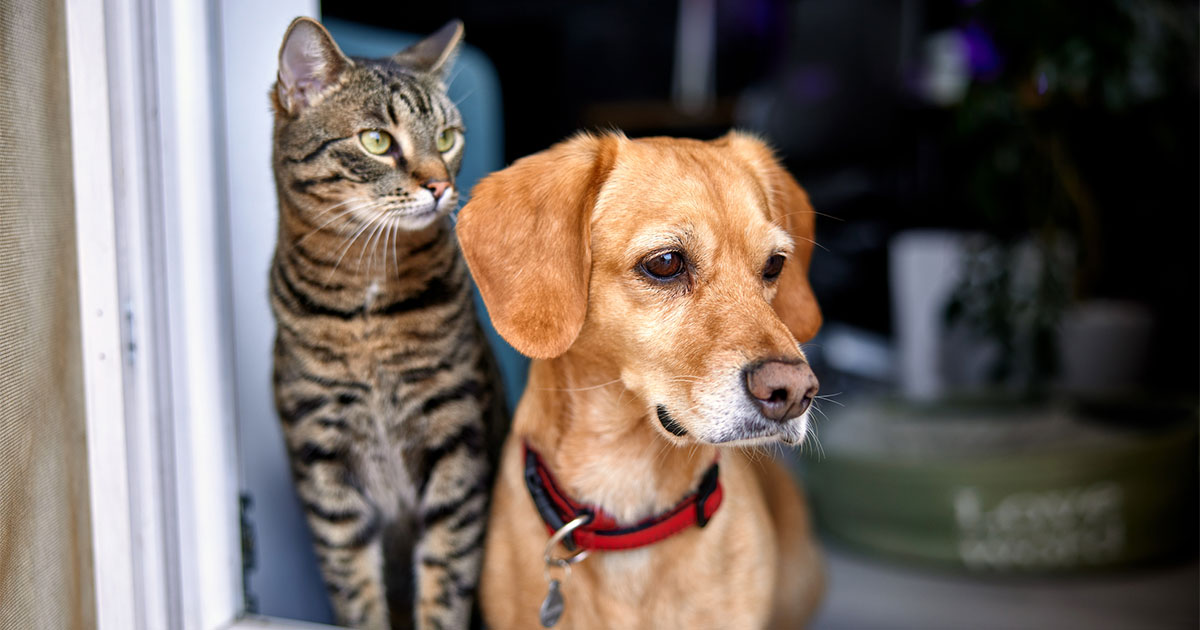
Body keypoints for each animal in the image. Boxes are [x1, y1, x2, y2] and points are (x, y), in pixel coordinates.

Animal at [267, 17, 501, 624]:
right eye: (377, 141)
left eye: (446, 138)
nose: (440, 186)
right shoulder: (323, 455)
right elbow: (353, 584)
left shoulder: (455, 438)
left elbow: (446, 575)